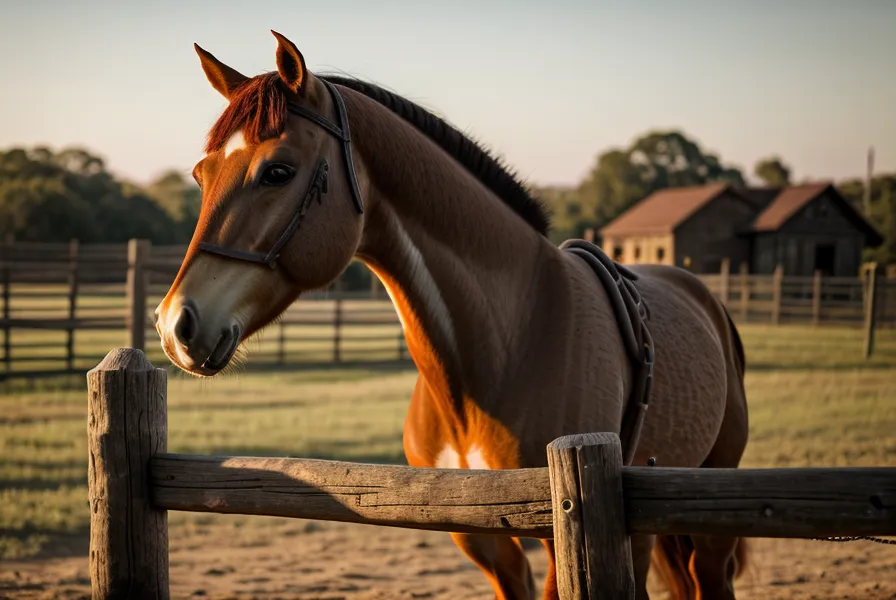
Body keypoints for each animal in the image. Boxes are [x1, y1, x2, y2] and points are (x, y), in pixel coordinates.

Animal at [154, 31, 750, 600]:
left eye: (277, 171)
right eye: (201, 174)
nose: (175, 324)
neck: (509, 340)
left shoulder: (559, 539)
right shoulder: (487, 542)